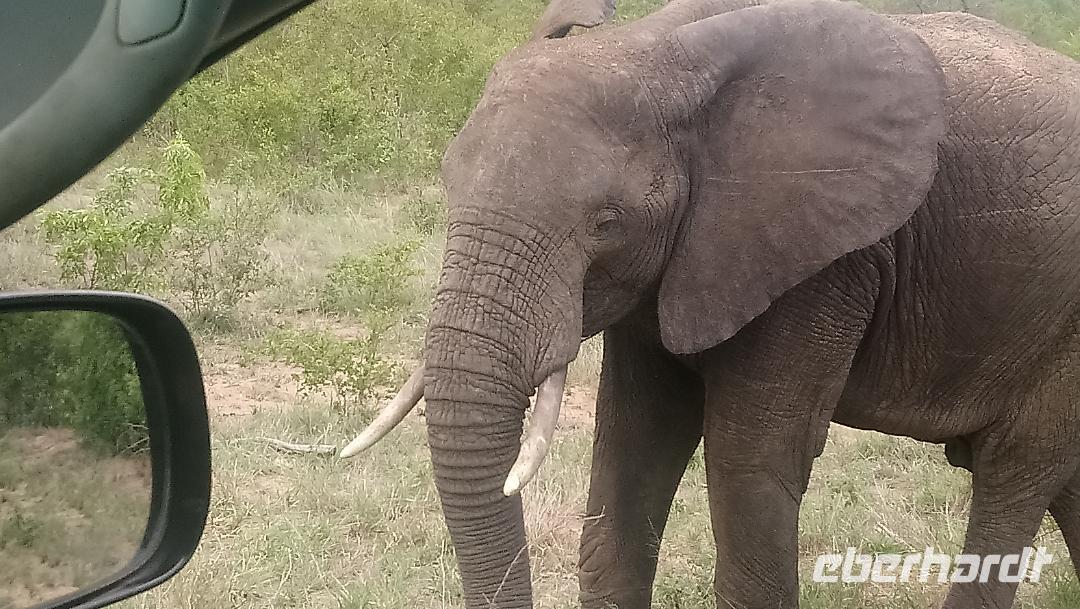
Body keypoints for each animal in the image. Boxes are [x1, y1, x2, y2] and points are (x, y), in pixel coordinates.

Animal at [340, 0, 1080, 607]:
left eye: (606, 222)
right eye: (448, 183)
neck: (660, 48)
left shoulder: (822, 260)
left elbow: (748, 466)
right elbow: (633, 444)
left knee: (1011, 473)